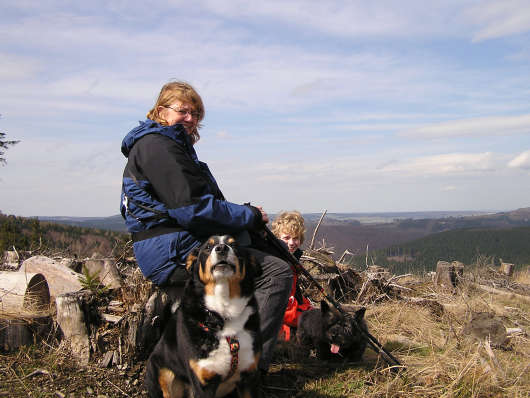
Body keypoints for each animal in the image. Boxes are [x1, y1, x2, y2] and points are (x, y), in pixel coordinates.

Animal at [144, 235, 262, 396]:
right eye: (207, 247)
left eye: (234, 245)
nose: (221, 248)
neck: (223, 313)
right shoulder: (203, 382)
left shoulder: (248, 377)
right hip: (163, 373)